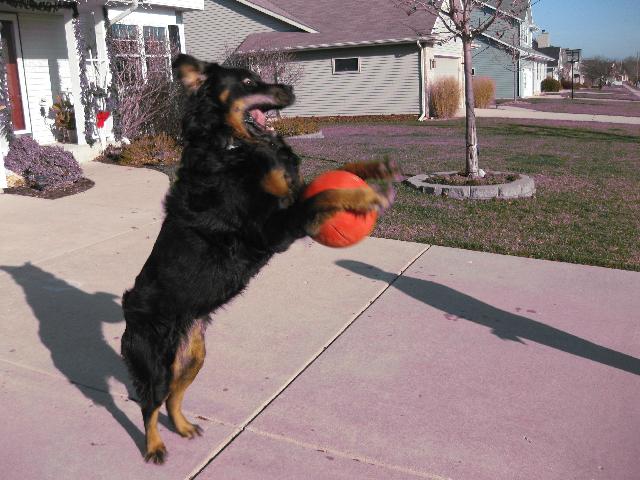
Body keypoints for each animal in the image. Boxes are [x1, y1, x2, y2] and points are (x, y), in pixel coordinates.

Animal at [122, 54, 398, 464]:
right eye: (249, 81)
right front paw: (363, 197)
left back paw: (184, 427)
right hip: (154, 360)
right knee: (150, 405)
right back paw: (155, 446)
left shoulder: (286, 195)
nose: (291, 88)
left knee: (173, 397)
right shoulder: (271, 230)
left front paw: (374, 169)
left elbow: (328, 177)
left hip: (193, 356)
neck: (234, 146)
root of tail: (128, 309)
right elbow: (322, 195)